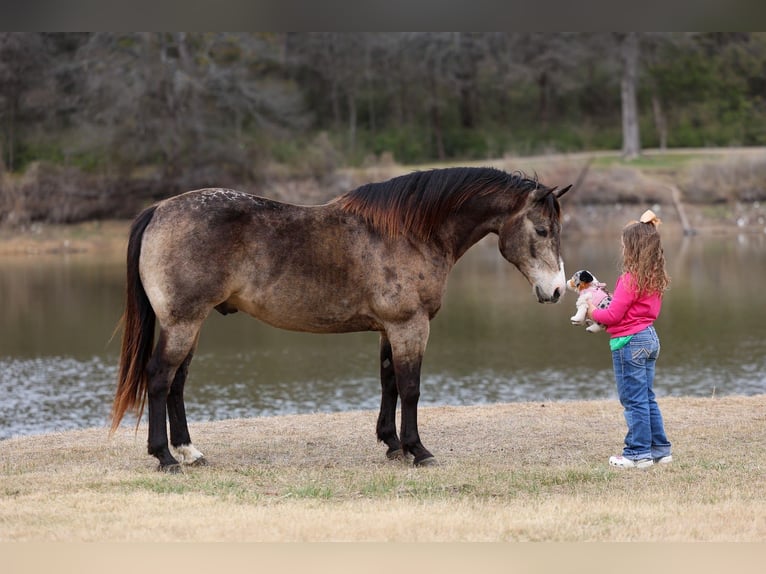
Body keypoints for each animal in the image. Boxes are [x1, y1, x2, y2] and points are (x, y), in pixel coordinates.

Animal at [111, 166, 571, 471]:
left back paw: (189, 451)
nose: (556, 290)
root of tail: (159, 209)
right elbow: (411, 388)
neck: (408, 233)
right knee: (159, 378)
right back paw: (165, 457)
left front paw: (392, 444)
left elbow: (388, 382)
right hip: (183, 322)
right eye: (543, 231)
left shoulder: (390, 328)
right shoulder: (410, 325)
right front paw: (418, 450)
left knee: (177, 382)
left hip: (192, 323)